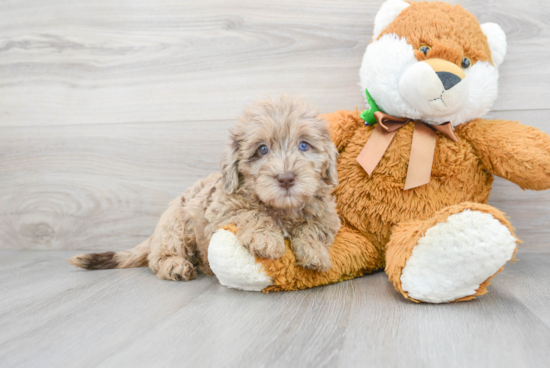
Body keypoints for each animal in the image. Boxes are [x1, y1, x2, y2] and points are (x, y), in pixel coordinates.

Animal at [69, 96, 340, 280]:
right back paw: (175, 266)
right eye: (262, 149)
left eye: (304, 146)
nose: (286, 178)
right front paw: (265, 238)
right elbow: (252, 213)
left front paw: (314, 252)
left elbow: (313, 228)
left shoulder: (328, 217)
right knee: (157, 258)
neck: (282, 208)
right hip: (176, 226)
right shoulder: (221, 210)